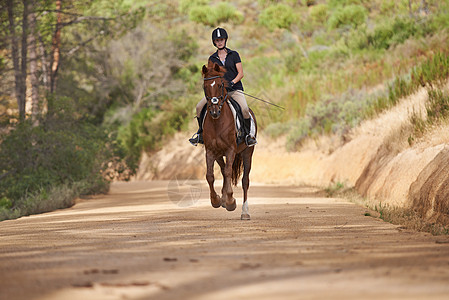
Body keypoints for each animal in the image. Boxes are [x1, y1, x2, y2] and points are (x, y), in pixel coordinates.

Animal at [200, 61, 256, 220]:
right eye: (205, 87)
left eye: (220, 85)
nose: (214, 112)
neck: (217, 122)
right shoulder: (210, 151)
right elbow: (210, 176)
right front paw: (216, 200)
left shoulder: (231, 150)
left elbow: (229, 173)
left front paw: (231, 201)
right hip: (219, 154)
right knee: (223, 170)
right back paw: (224, 199)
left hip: (247, 153)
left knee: (244, 181)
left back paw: (245, 212)